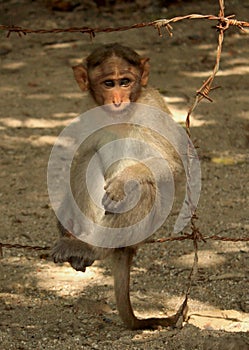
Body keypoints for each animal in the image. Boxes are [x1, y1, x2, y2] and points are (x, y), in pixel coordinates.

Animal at [51, 42, 184, 330]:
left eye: (125, 81)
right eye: (108, 83)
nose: (117, 100)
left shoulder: (153, 107)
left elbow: (173, 165)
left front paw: (123, 181)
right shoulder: (86, 111)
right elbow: (79, 154)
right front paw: (63, 223)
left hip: (142, 230)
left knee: (144, 189)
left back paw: (94, 248)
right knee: (88, 159)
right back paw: (77, 243)